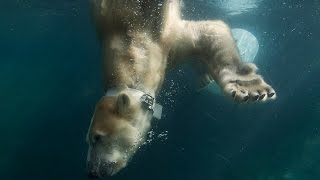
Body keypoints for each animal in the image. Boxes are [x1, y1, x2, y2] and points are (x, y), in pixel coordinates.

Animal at [86, 0, 276, 177]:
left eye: (97, 137)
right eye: (88, 140)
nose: (91, 172)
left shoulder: (159, 34)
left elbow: (212, 29)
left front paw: (249, 88)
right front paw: (203, 76)